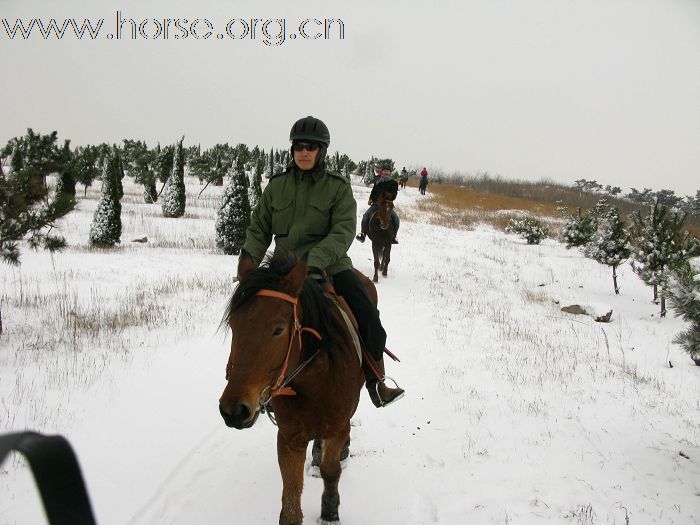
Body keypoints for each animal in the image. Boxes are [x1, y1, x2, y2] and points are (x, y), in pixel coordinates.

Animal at [219, 254, 372, 524]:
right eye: (233, 324)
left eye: (279, 329)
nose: (233, 411)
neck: (314, 382)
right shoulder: (289, 438)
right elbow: (290, 500)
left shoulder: (337, 426)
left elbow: (331, 471)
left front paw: (329, 512)